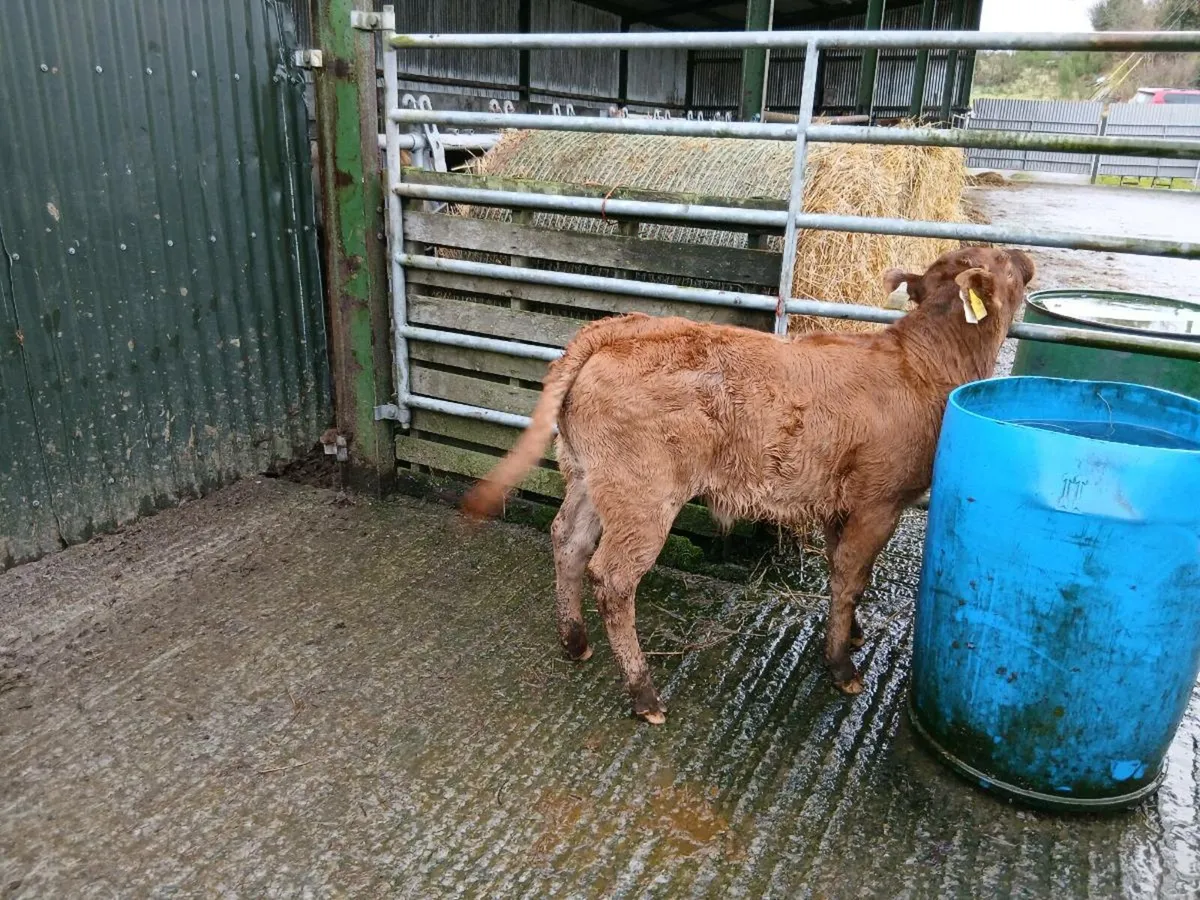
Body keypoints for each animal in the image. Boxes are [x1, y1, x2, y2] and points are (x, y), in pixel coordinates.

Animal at [463, 246, 1036, 724]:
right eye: (1004, 263)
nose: (1027, 258)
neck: (923, 361)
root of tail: (621, 327)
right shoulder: (881, 500)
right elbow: (851, 577)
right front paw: (841, 666)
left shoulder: (842, 503)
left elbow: (845, 572)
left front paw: (850, 634)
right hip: (643, 494)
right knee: (613, 577)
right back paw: (644, 694)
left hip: (588, 474)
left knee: (568, 540)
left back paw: (574, 641)